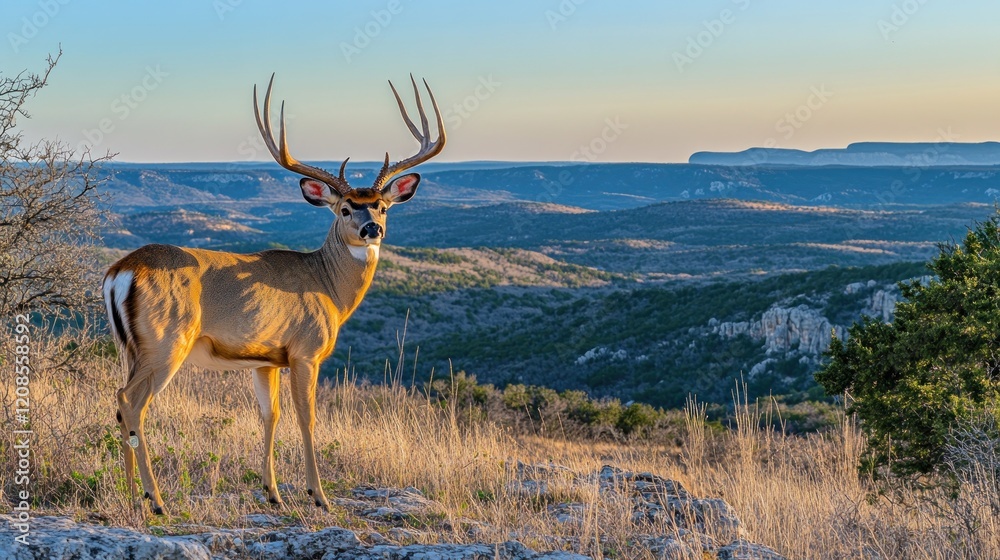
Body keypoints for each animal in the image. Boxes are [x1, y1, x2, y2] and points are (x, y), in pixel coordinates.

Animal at [102, 74, 445, 515]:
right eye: (345, 208)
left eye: (383, 206)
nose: (373, 229)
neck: (328, 288)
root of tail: (119, 271)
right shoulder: (305, 351)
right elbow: (306, 418)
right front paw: (319, 496)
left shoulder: (265, 360)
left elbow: (270, 416)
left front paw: (273, 492)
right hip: (166, 341)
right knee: (131, 402)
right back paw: (155, 499)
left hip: (131, 348)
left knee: (120, 404)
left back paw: (131, 496)